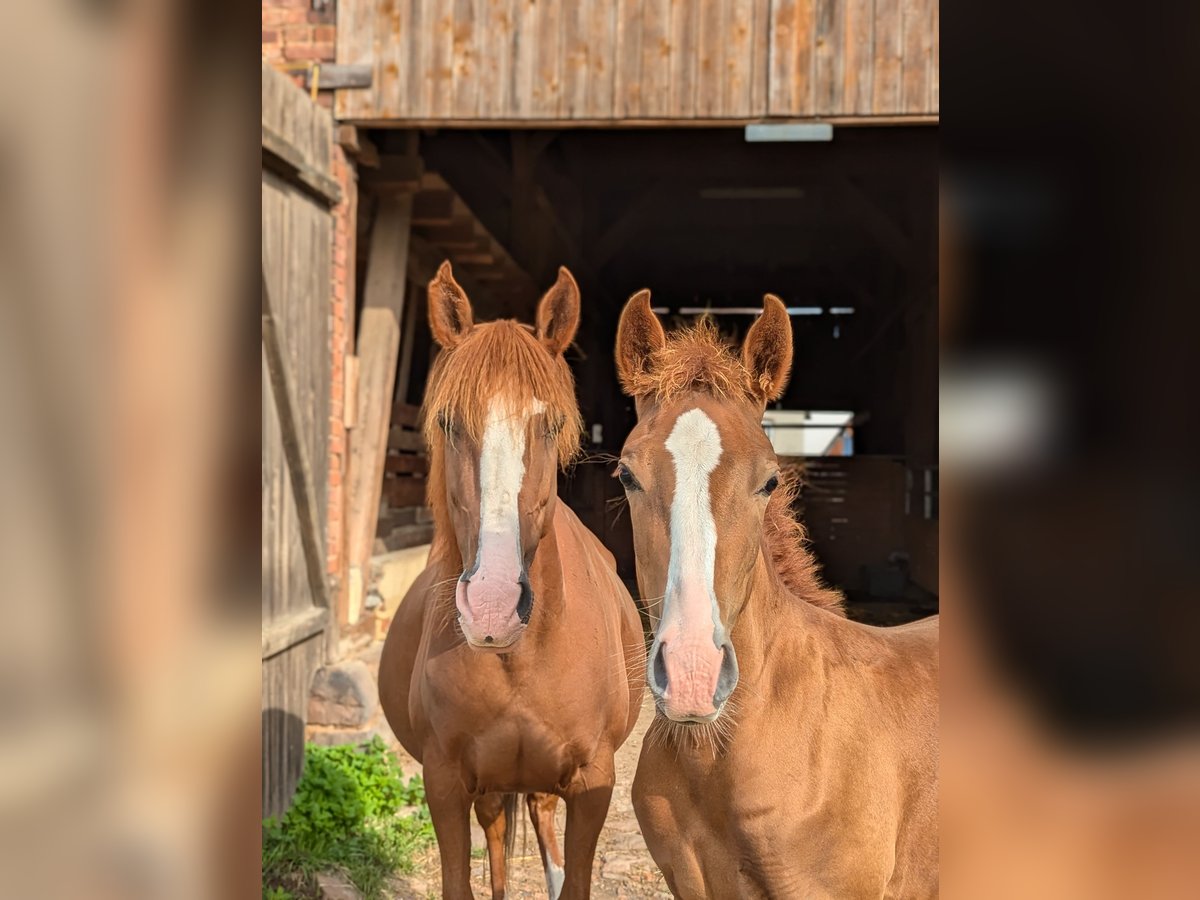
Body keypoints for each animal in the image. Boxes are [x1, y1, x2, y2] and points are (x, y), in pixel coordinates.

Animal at [378, 262, 646, 900]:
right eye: (449, 422)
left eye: (550, 424)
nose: (493, 609)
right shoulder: (445, 784)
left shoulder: (591, 783)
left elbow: (572, 880)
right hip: (493, 789)